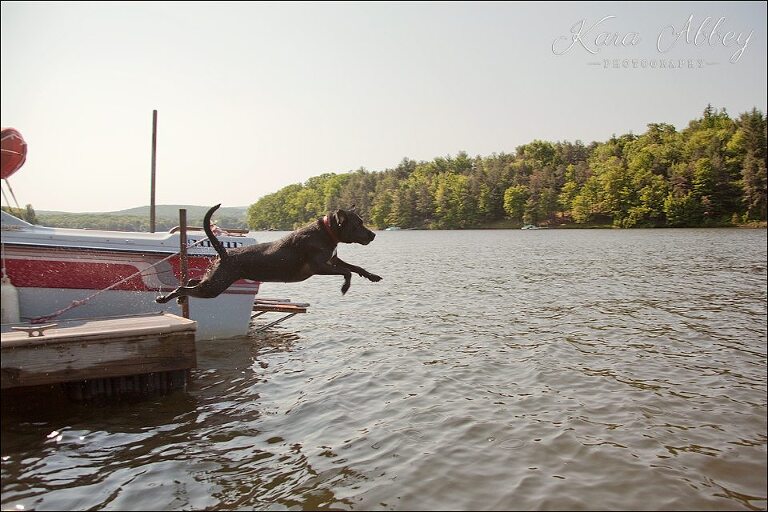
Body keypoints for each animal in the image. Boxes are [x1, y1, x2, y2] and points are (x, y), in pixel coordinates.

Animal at [157, 203, 384, 302]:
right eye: (358, 224)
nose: (373, 235)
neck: (326, 232)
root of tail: (225, 254)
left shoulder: (333, 259)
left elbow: (355, 267)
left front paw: (372, 276)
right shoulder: (319, 266)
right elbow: (347, 272)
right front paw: (345, 288)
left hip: (214, 279)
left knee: (191, 281)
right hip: (214, 287)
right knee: (184, 287)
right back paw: (167, 298)